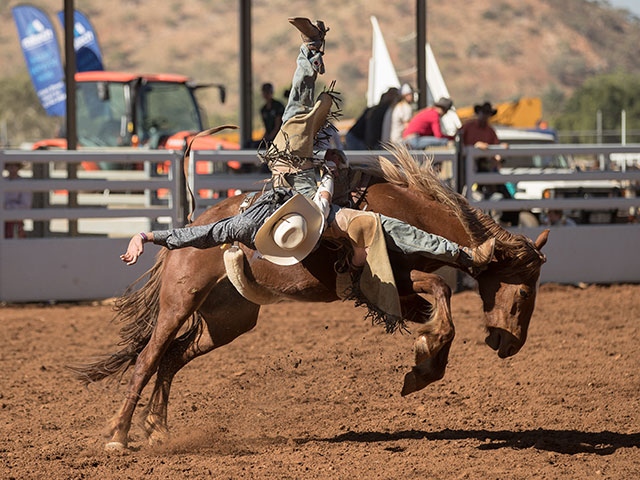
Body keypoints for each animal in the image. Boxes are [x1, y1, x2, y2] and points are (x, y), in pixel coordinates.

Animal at [72, 146, 548, 450]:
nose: (510, 344)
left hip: (229, 320)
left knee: (172, 357)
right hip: (178, 302)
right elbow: (441, 291)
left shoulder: (398, 291)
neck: (404, 211)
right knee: (148, 358)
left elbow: (438, 304)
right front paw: (423, 367)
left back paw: (156, 428)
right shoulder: (387, 280)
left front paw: (425, 361)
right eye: (525, 290)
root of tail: (191, 226)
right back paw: (118, 435)